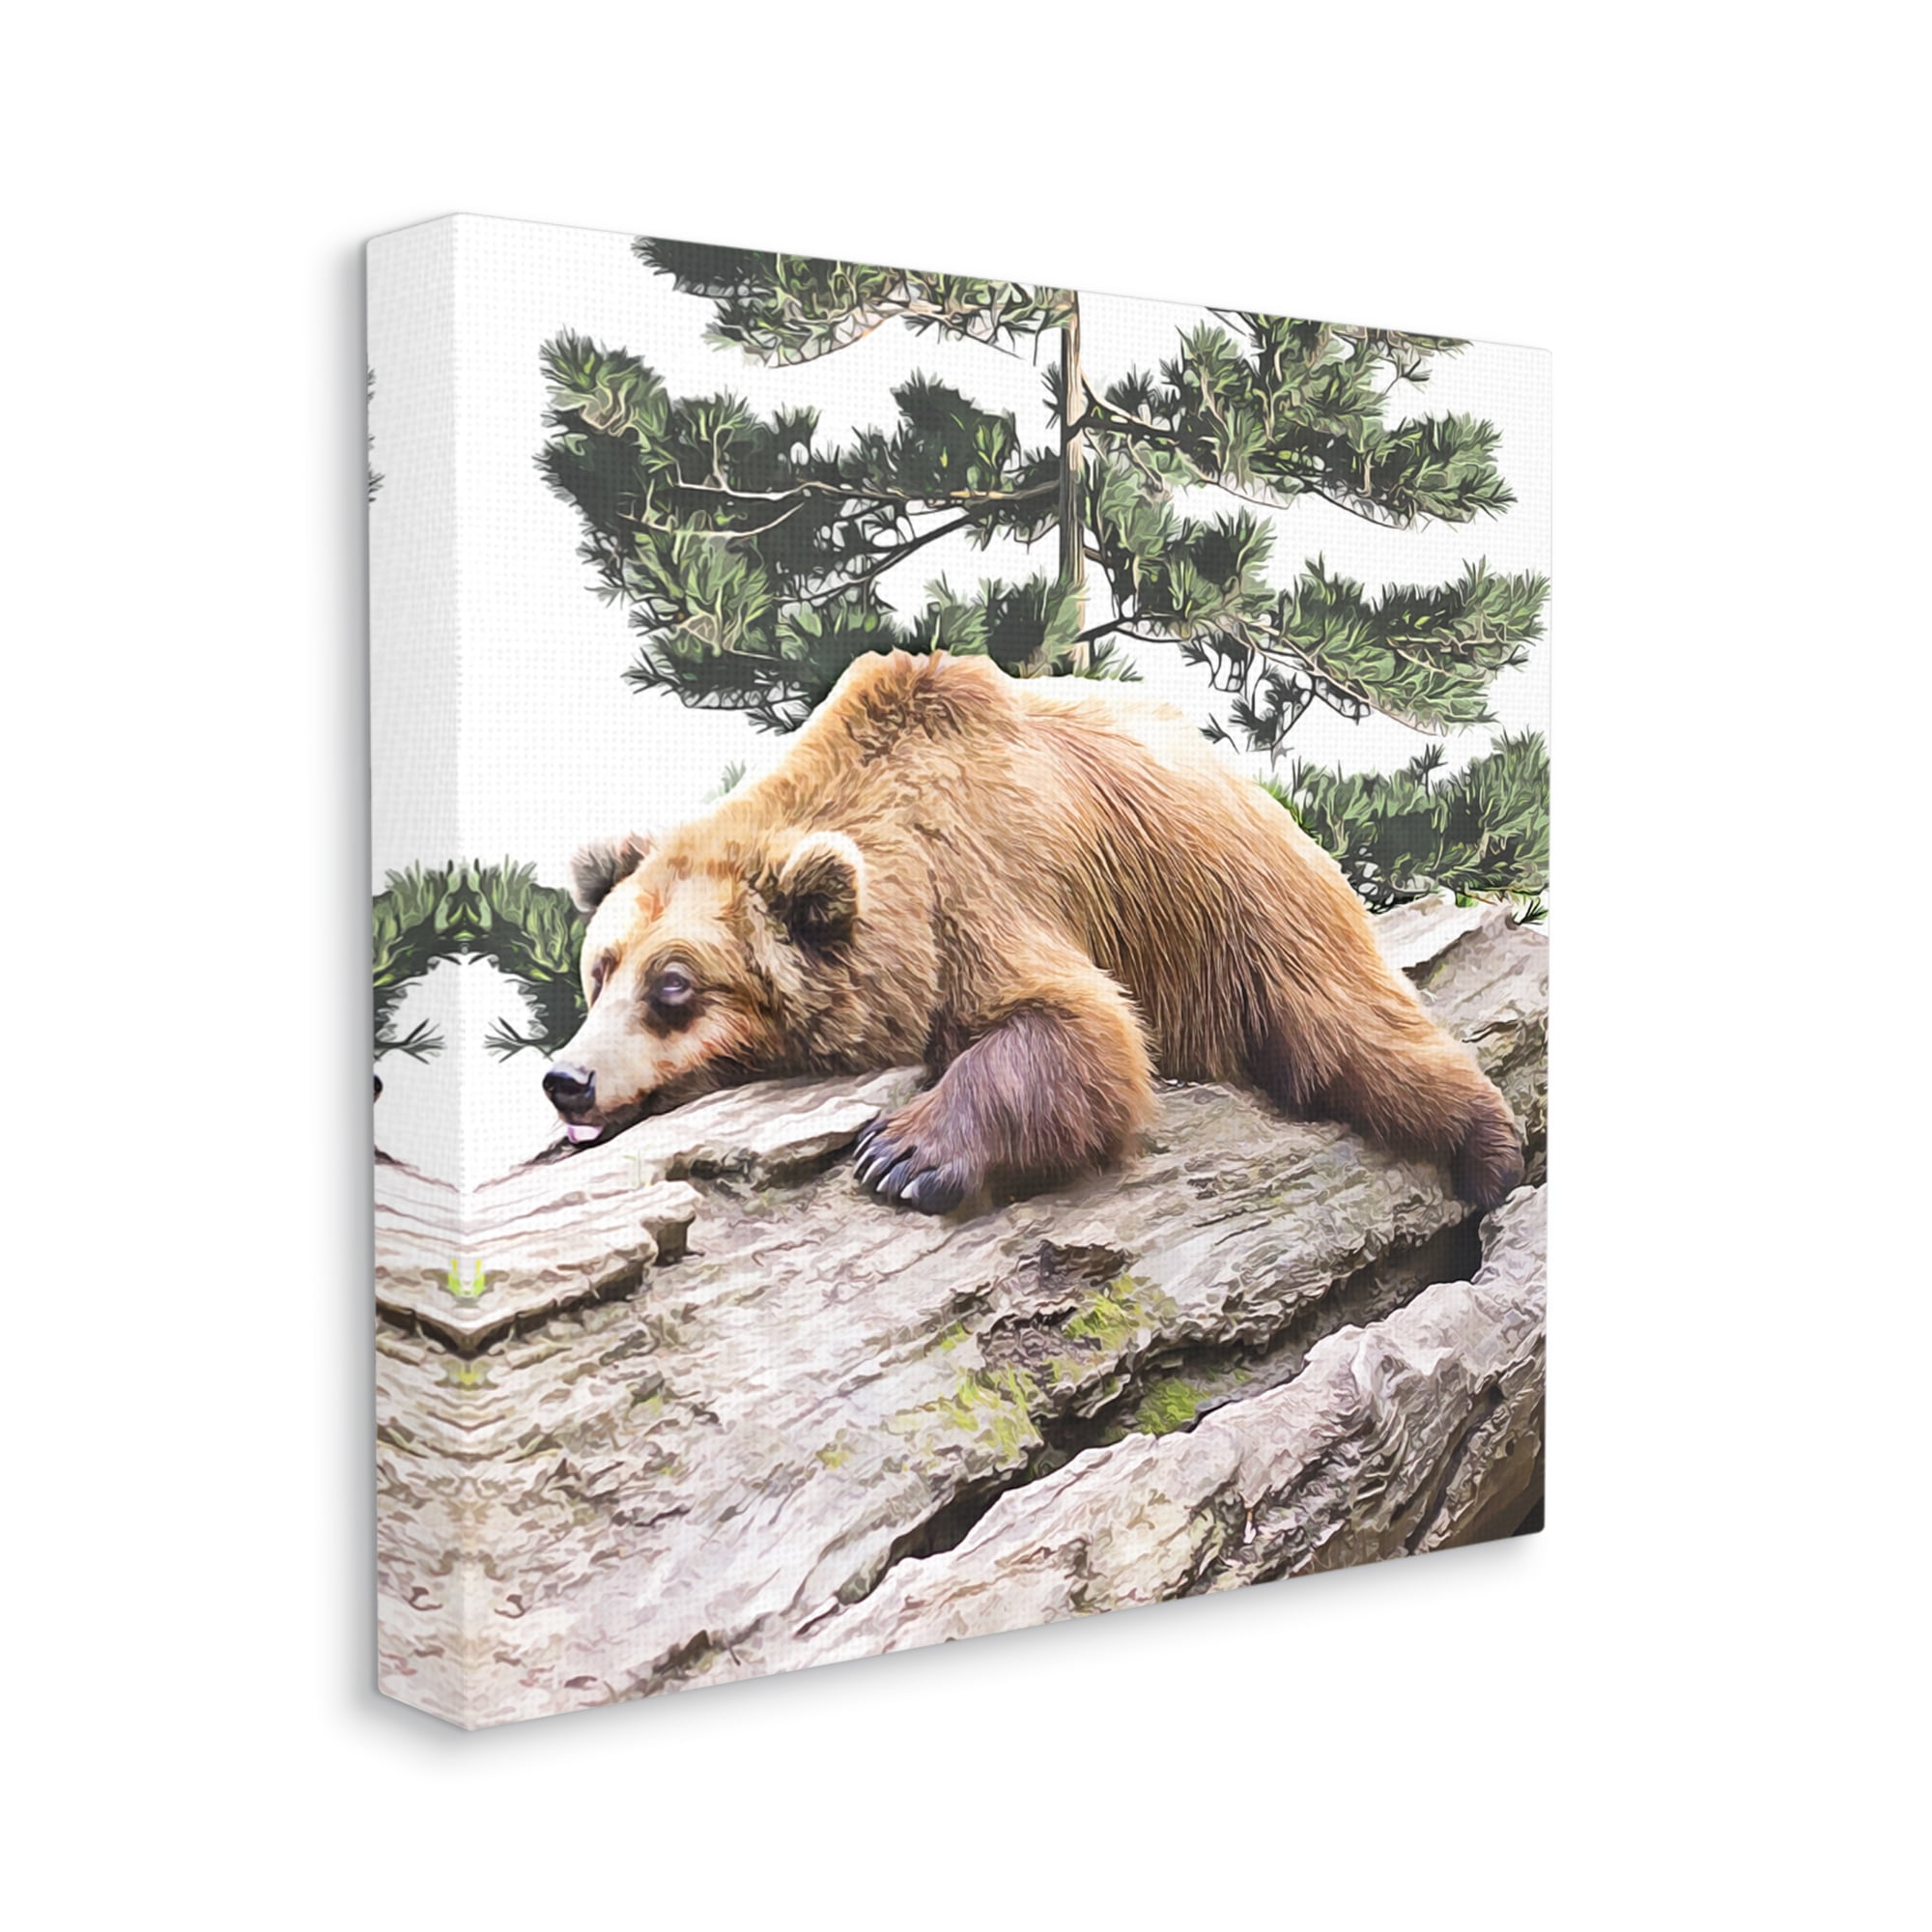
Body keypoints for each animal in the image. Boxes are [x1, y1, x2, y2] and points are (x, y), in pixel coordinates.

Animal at [547, 649, 1524, 1215]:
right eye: (600, 970)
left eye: (675, 986)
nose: (568, 1080)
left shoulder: (985, 881)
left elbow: (1081, 1030)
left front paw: (901, 1155)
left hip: (1245, 911)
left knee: (1355, 1040)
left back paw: (1491, 1156)